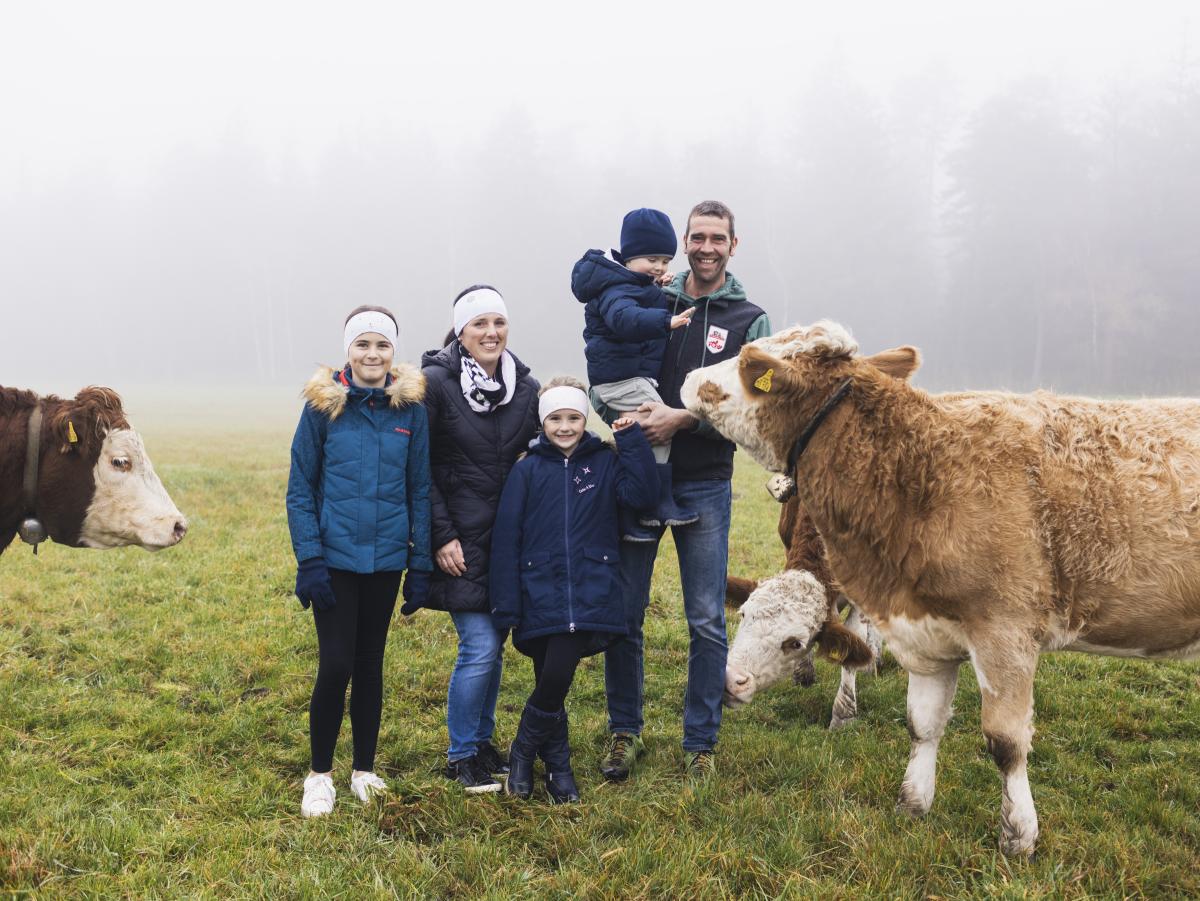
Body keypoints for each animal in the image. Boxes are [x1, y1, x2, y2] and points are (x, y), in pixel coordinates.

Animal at [691, 321, 1200, 854]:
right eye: (742, 616)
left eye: (753, 366)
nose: (690, 377)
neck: (920, 472)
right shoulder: (921, 629)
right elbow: (922, 723)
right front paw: (913, 803)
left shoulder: (1006, 634)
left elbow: (1006, 742)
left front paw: (1018, 835)